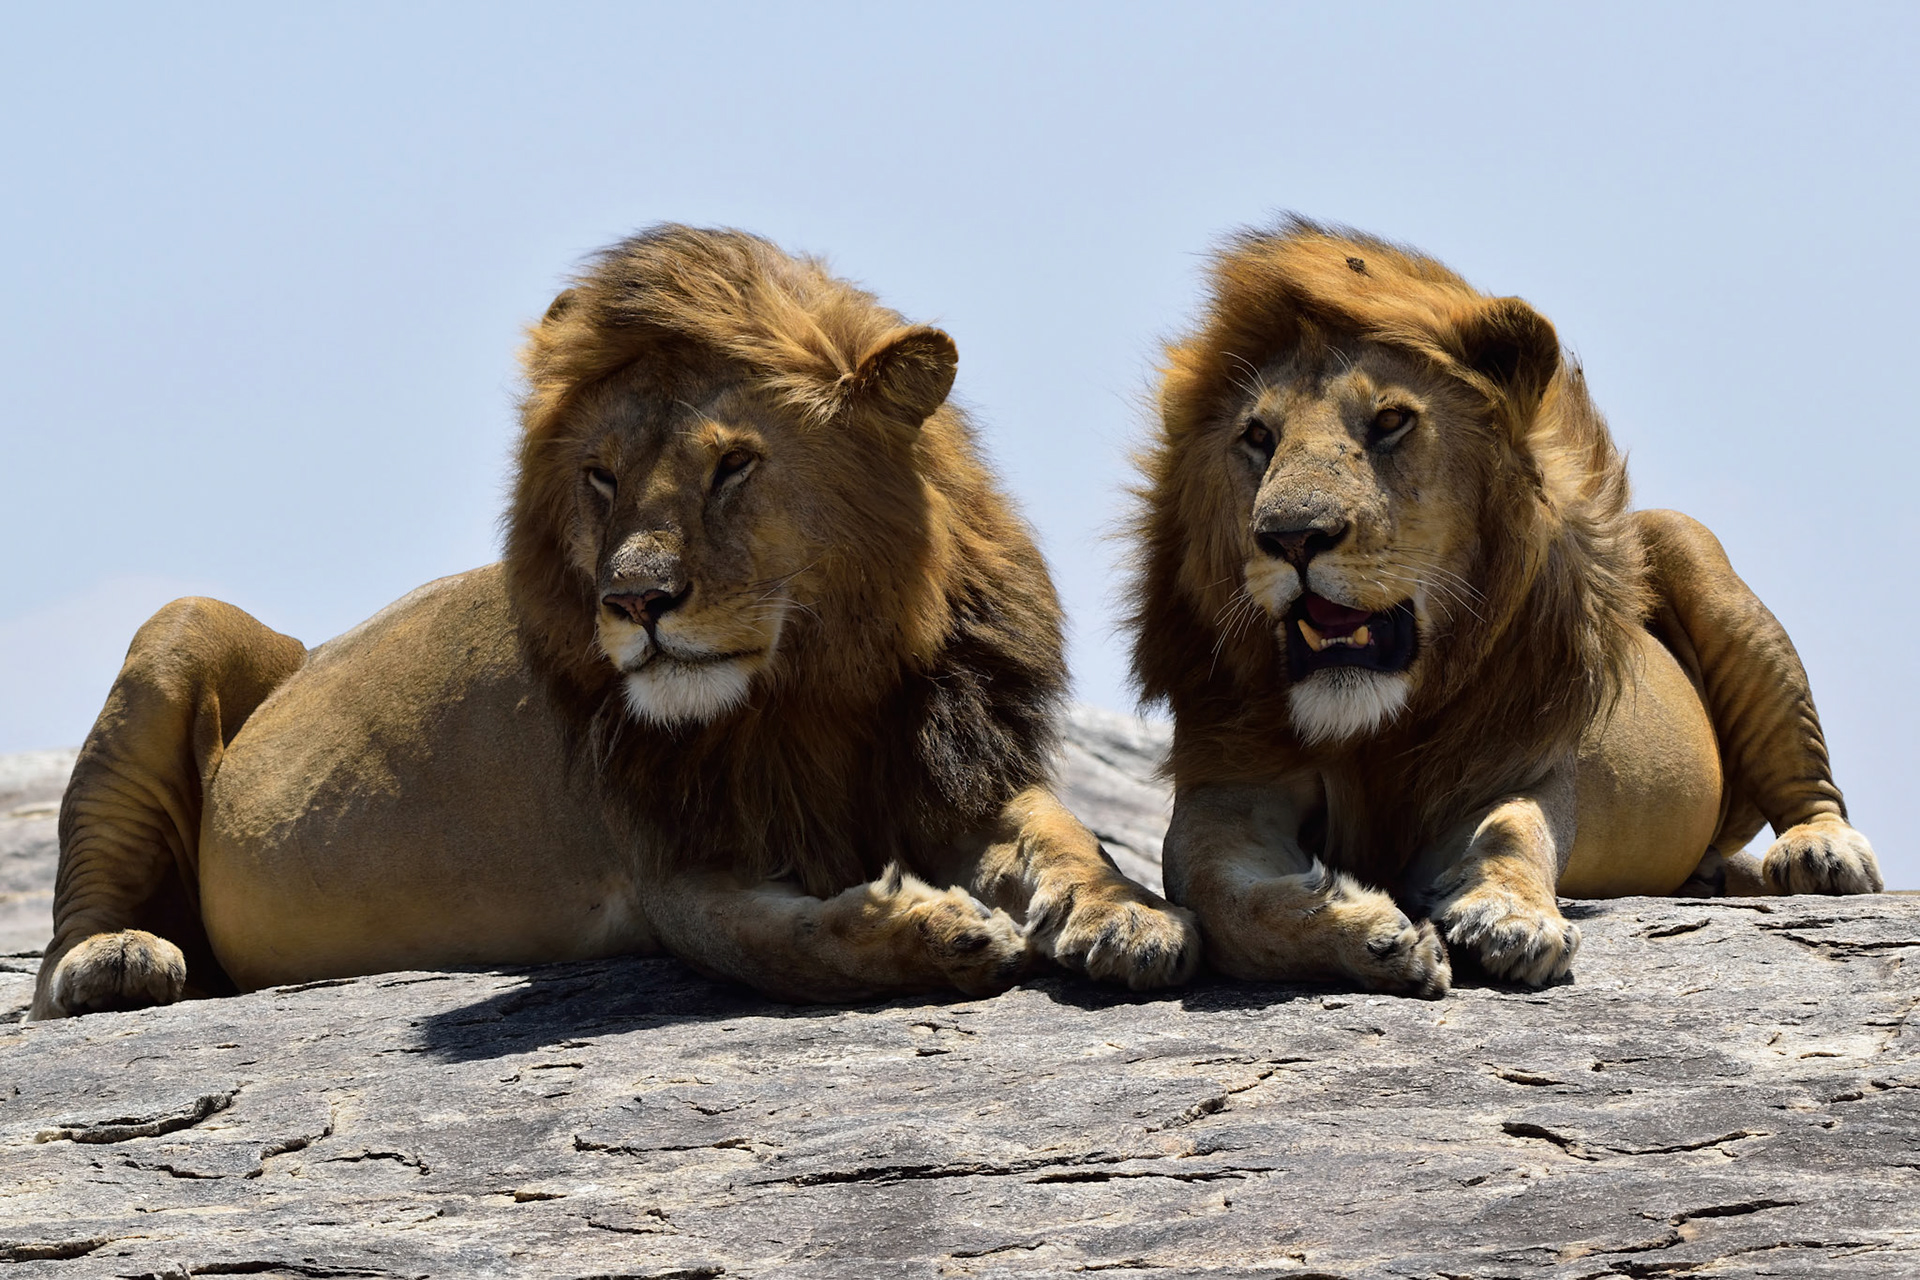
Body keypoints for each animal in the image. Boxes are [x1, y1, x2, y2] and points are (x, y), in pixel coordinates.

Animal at [32, 225, 1198, 1019]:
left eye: (734, 466)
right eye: (599, 478)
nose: (633, 600)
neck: (816, 687)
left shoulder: (953, 770)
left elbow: (1066, 836)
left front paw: (1129, 914)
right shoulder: (671, 866)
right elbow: (783, 947)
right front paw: (931, 930)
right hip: (178, 625)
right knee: (60, 947)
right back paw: (117, 958)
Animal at [1129, 217, 1880, 998]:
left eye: (1390, 420)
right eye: (1258, 437)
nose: (1291, 536)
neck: (1373, 731)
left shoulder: (1519, 763)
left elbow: (1514, 830)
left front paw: (1511, 921)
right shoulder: (1230, 785)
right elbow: (1222, 898)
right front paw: (1377, 936)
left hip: (1691, 549)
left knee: (1808, 777)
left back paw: (1822, 852)